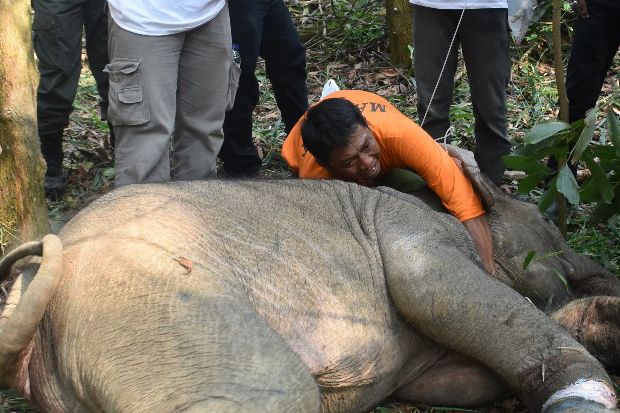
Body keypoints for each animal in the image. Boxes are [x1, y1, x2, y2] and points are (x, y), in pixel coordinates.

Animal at [1, 177, 620, 412]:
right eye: (551, 223)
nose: (603, 271)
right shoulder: (418, 238)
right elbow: (438, 293)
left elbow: (462, 383)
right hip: (149, 302)